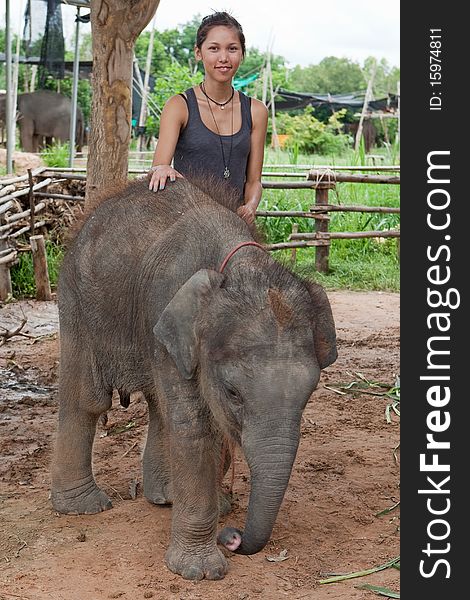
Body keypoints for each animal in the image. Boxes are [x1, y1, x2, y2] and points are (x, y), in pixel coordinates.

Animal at [50, 176, 338, 580]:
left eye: (309, 394)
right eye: (233, 393)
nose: (233, 536)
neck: (237, 266)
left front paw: (220, 509)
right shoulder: (166, 309)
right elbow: (196, 425)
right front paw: (200, 572)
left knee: (158, 405)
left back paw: (166, 497)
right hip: (77, 301)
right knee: (87, 400)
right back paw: (84, 507)